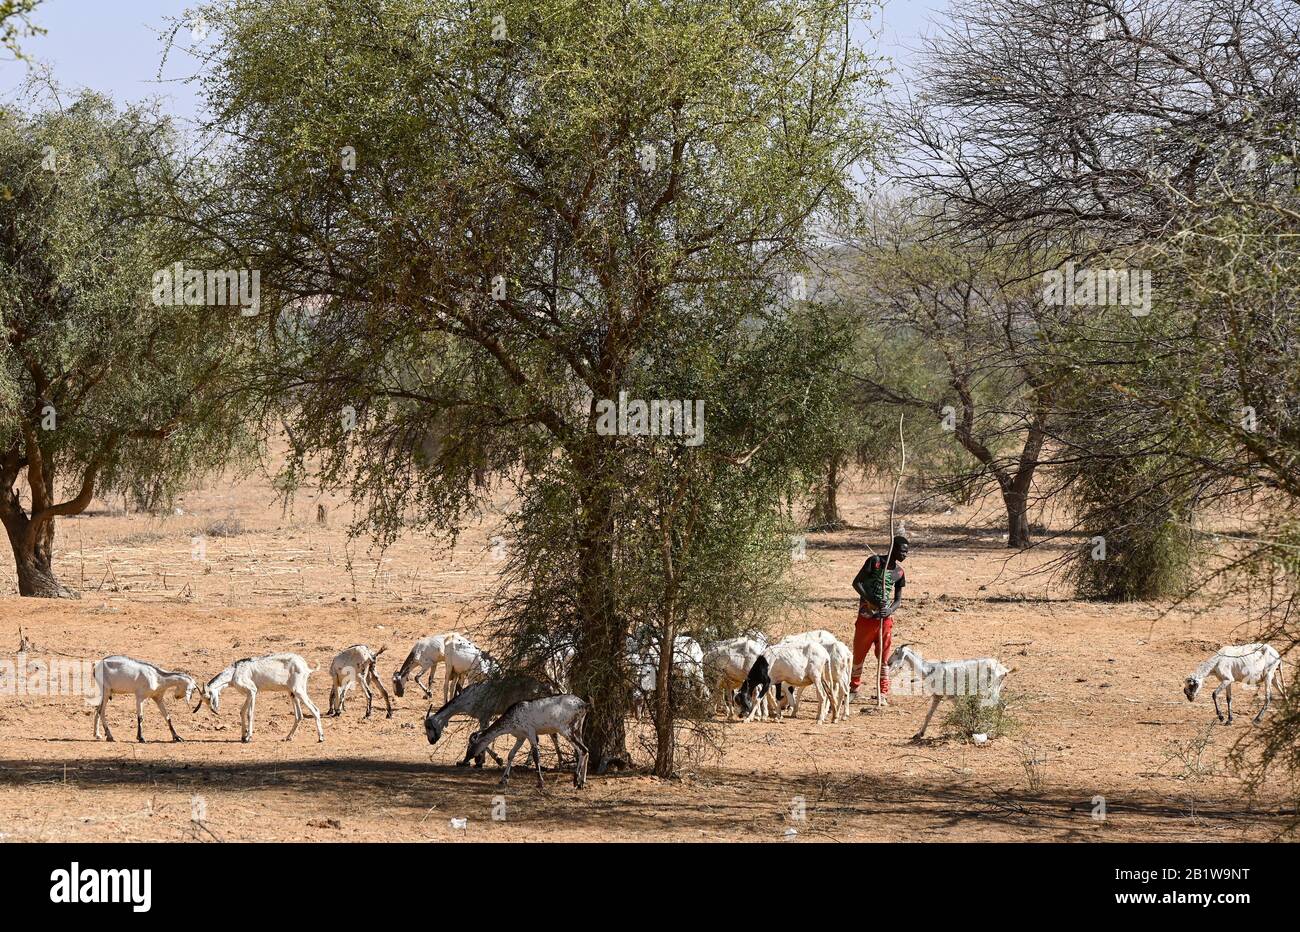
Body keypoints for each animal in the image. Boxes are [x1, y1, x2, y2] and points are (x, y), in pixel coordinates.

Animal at [421, 670, 553, 769]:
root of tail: (541, 686)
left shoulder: (484, 716)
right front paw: (478, 761)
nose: (431, 740)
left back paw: (528, 763)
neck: (467, 697)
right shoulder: (485, 718)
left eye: (428, 726)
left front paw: (491, 760)